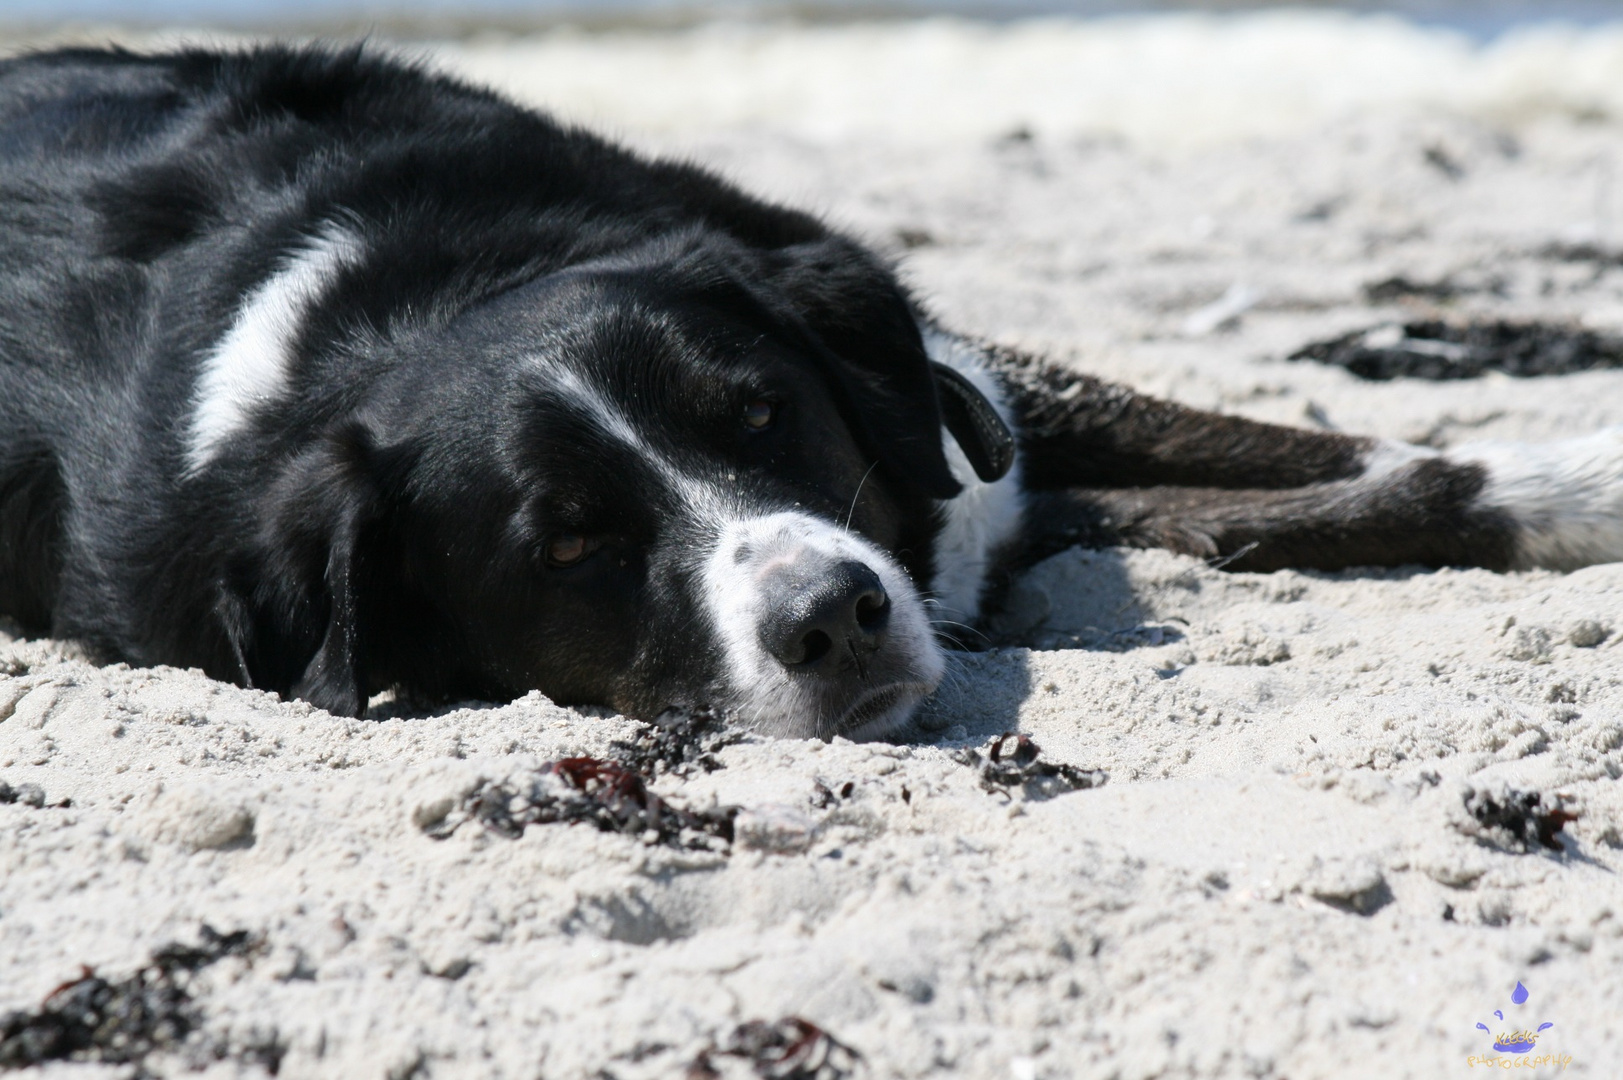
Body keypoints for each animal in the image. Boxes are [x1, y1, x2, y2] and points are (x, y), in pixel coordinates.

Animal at [3, 39, 1623, 734]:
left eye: (759, 414)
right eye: (569, 545)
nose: (829, 618)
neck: (414, 298)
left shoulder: (970, 399)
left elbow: (1327, 466)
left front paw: (1578, 477)